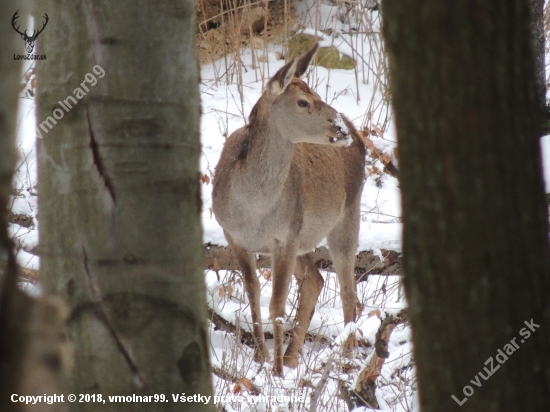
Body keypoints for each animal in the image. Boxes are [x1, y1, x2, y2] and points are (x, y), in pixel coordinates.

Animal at [212, 42, 366, 376]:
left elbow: (277, 306)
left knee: (348, 293)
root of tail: (361, 138)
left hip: (346, 214)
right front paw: (262, 359)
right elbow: (254, 294)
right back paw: (295, 357)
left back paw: (345, 361)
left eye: (316, 94)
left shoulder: (285, 237)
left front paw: (277, 371)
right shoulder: (233, 237)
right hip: (304, 236)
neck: (253, 209)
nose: (340, 128)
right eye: (303, 102)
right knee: (315, 279)